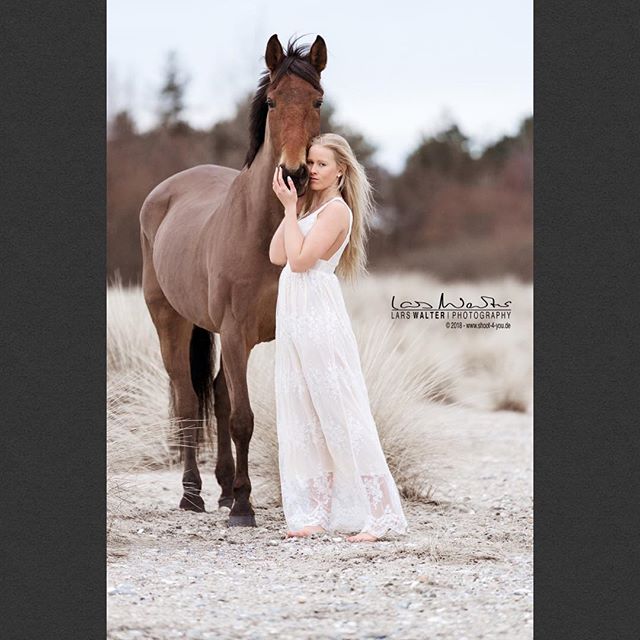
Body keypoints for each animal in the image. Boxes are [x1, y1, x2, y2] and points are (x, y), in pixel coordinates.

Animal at [139, 34, 327, 526]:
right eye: (273, 101)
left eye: (317, 100)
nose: (295, 174)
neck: (265, 231)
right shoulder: (237, 332)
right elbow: (243, 418)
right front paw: (243, 507)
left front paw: (242, 496)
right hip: (171, 322)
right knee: (188, 398)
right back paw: (193, 494)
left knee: (219, 395)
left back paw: (222, 488)